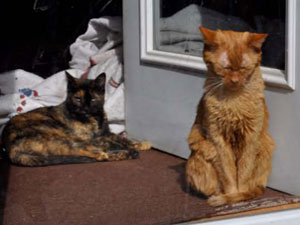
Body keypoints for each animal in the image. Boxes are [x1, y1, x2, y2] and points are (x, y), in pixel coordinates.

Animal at [2, 73, 151, 166]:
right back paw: (127, 153)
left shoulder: (106, 133)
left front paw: (140, 144)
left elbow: (120, 138)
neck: (94, 119)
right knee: (96, 154)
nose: (85, 108)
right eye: (78, 98)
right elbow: (109, 141)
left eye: (93, 99)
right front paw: (130, 146)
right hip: (63, 137)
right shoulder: (91, 137)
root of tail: (9, 149)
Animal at [186, 26, 276, 206]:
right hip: (199, 154)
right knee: (212, 187)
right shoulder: (218, 139)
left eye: (242, 68)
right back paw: (218, 196)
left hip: (265, 146)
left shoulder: (251, 138)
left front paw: (239, 196)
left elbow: (243, 171)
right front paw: (232, 194)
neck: (234, 102)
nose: (235, 81)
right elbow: (228, 173)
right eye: (226, 68)